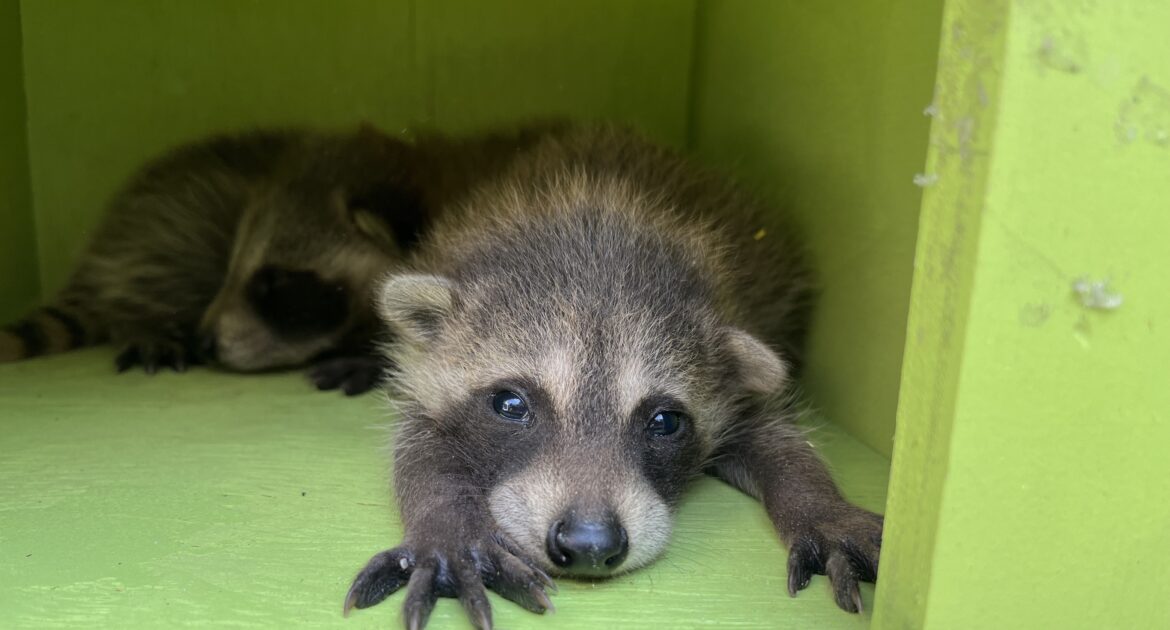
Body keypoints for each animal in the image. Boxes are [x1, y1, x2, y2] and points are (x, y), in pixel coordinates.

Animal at [346, 121, 884, 622]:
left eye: (665, 421)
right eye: (510, 404)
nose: (589, 544)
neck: (596, 223)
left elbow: (778, 435)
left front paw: (821, 506)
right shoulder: (421, 367)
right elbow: (419, 444)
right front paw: (449, 526)